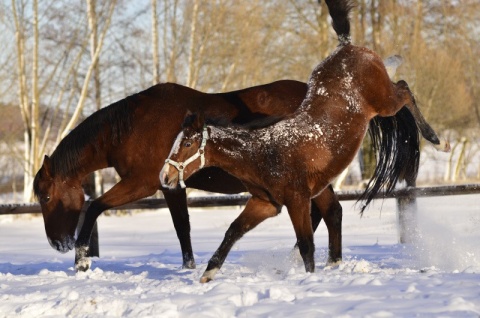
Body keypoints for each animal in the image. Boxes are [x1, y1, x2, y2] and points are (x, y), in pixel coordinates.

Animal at [163, 0, 448, 284]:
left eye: (187, 144)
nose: (164, 177)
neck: (263, 153)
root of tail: (345, 47)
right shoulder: (265, 203)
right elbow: (233, 230)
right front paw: (208, 273)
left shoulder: (297, 200)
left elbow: (305, 245)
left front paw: (310, 279)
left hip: (384, 101)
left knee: (405, 89)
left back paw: (437, 139)